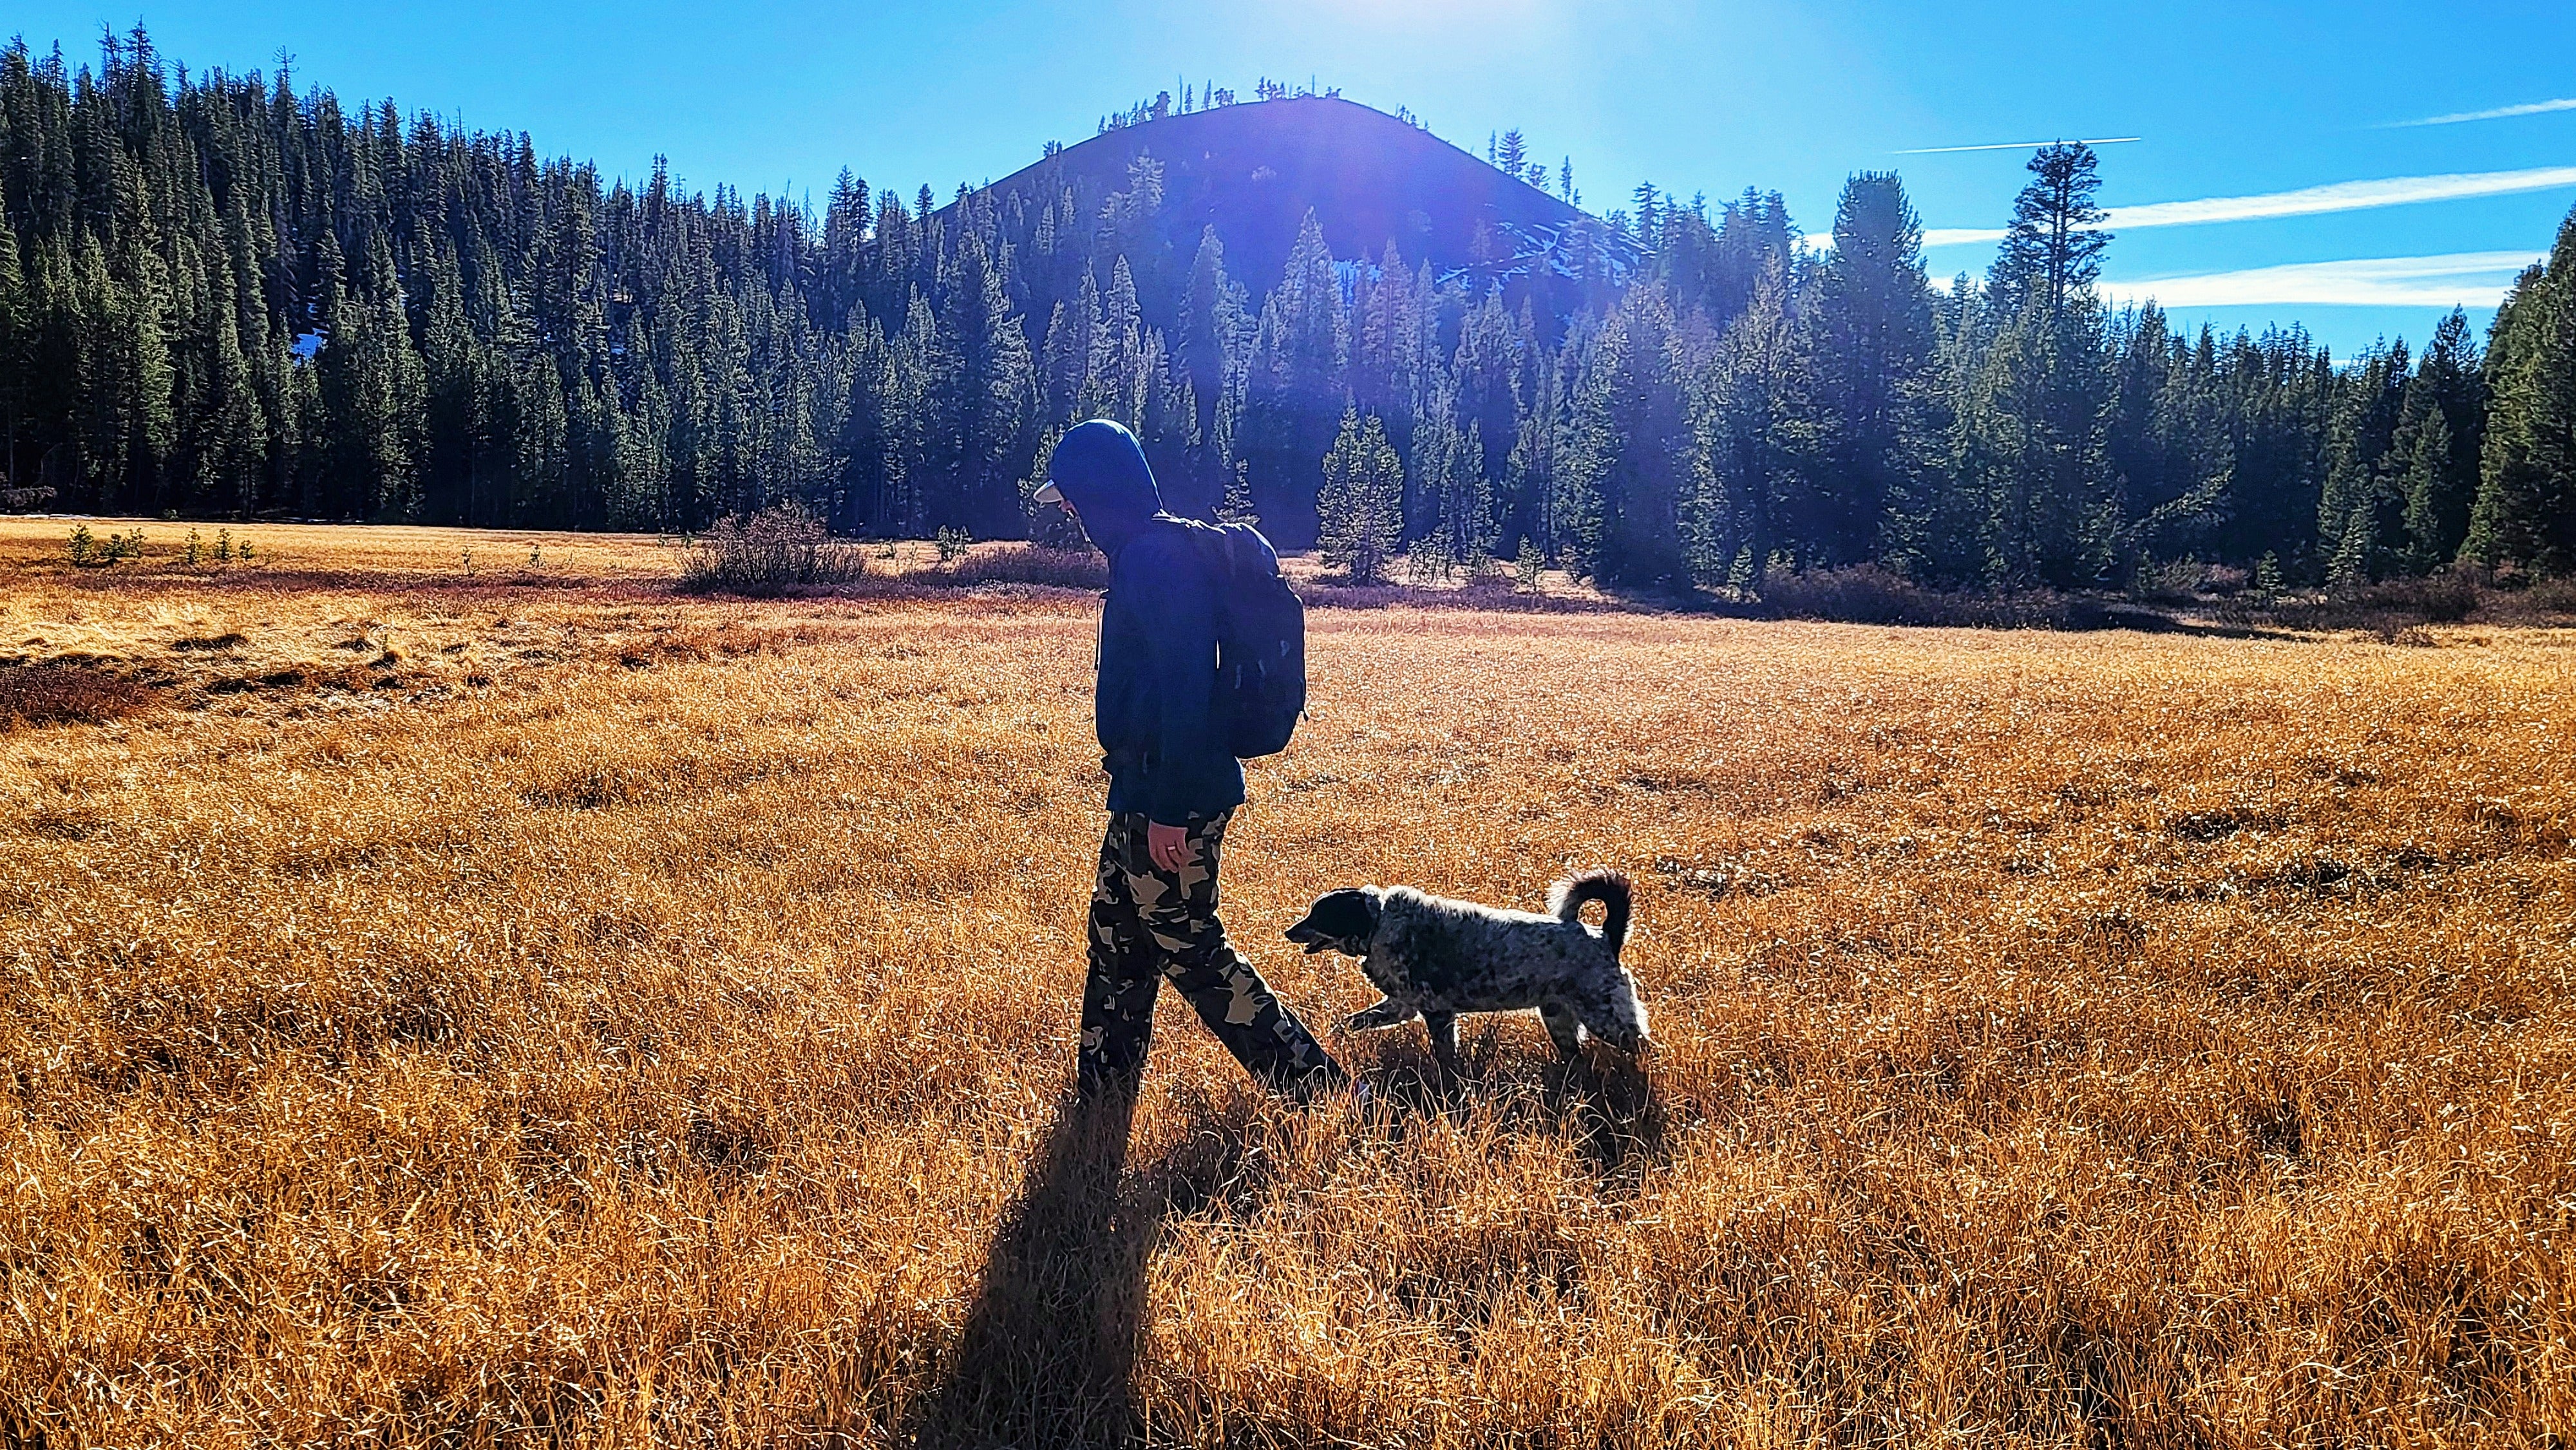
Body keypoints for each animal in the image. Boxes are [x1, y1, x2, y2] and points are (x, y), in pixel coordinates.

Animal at [1283, 869, 1649, 1074]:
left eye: (1319, 915)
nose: (1288, 932)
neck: (1377, 923)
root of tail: (1605, 937)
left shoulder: (1437, 1013)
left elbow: (1445, 1057)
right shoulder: (1400, 1006)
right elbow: (1348, 1023)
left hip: (1607, 1019)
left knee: (1644, 1047)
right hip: (1559, 1018)